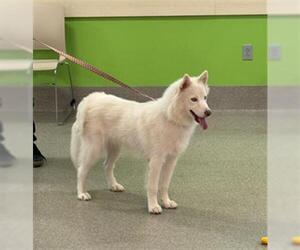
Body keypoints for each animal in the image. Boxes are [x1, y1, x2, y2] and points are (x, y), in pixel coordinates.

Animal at [70, 71, 211, 215]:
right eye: (193, 99)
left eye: (204, 98)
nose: (208, 112)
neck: (169, 117)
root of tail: (90, 99)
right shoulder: (156, 161)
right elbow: (153, 187)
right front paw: (153, 206)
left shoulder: (171, 161)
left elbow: (164, 185)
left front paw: (166, 202)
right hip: (93, 150)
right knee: (81, 170)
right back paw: (82, 194)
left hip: (115, 149)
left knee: (107, 166)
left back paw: (114, 186)